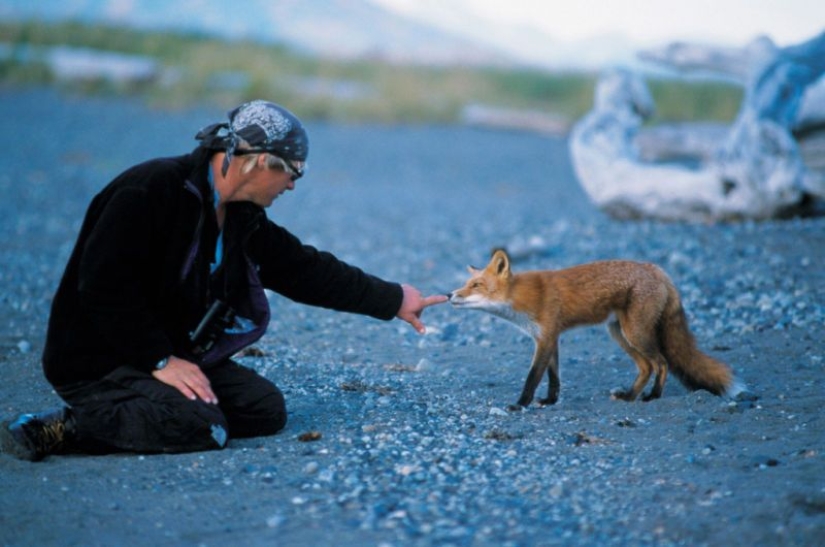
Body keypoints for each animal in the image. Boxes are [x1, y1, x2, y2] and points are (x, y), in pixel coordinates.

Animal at [450, 250, 740, 408]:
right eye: (466, 283)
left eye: (475, 285)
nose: (450, 294)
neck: (524, 297)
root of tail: (658, 270)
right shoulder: (549, 337)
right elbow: (553, 377)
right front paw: (549, 402)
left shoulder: (545, 337)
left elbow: (532, 377)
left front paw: (520, 405)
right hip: (619, 334)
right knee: (646, 367)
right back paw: (629, 396)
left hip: (635, 333)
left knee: (662, 363)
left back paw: (653, 396)